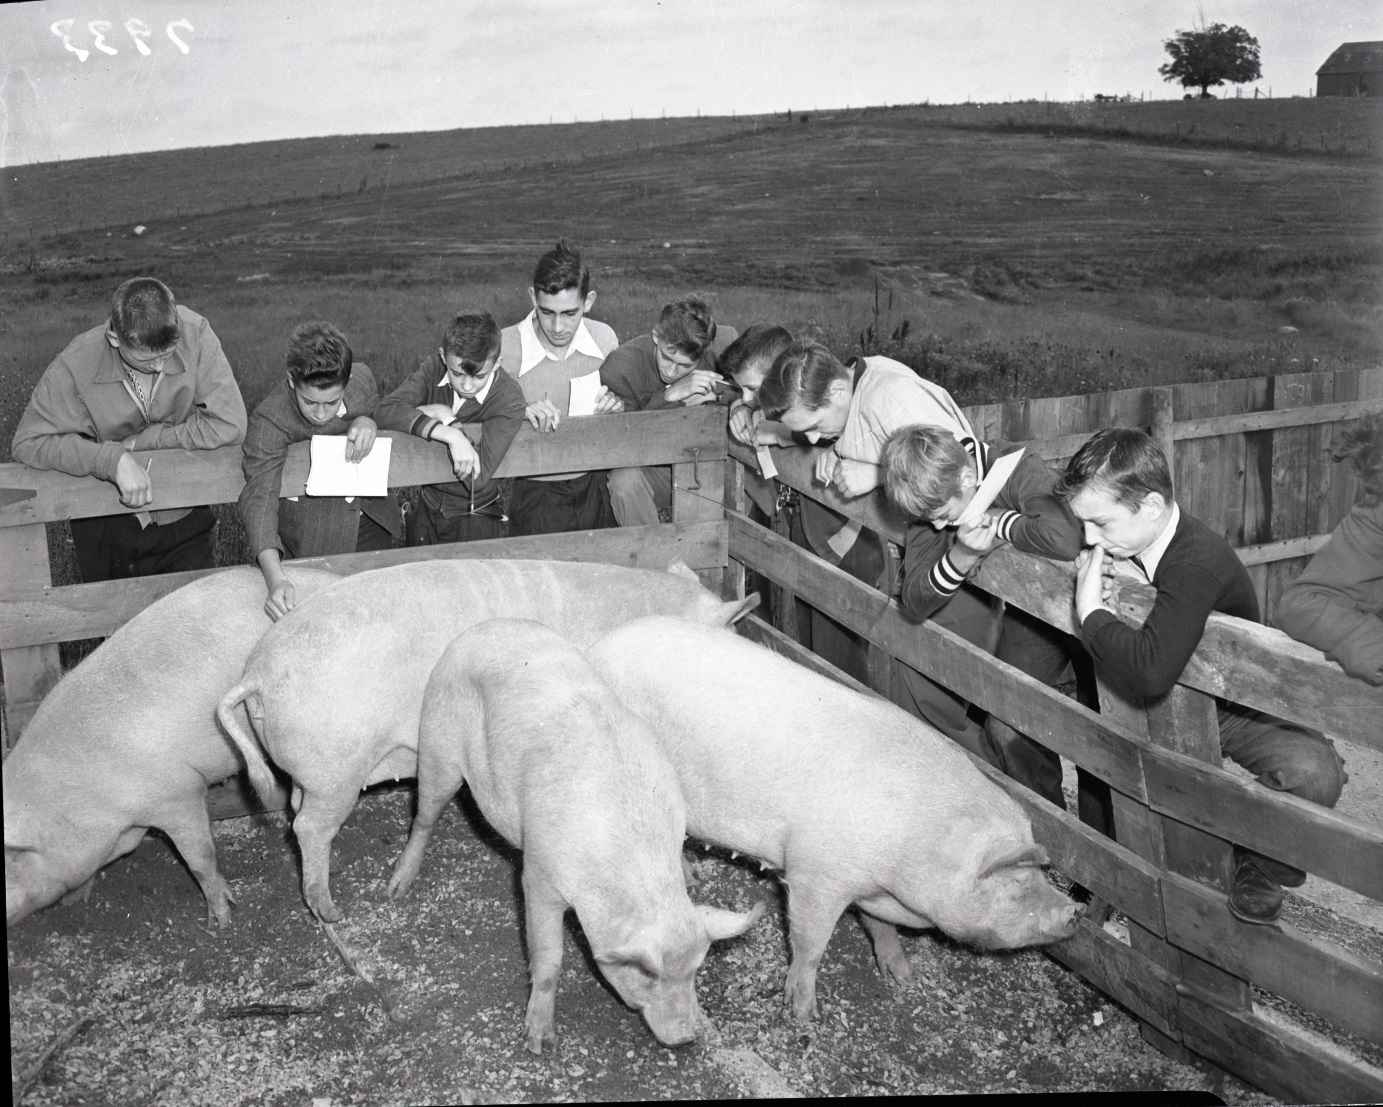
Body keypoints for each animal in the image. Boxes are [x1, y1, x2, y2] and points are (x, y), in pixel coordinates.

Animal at [215, 553, 757, 924]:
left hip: (311, 768)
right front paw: (692, 874)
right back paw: (331, 910)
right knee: (310, 828)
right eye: (731, 633)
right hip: (336, 765)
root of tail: (257, 673)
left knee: (295, 813)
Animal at [384, 622, 763, 1057]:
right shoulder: (538, 877)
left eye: (695, 970)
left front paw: (693, 876)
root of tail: (480, 630)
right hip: (437, 742)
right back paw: (396, 887)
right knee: (424, 815)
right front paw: (538, 1042)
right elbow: (548, 958)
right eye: (647, 974)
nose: (687, 1037)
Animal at [589, 614, 1084, 1018]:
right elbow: (810, 942)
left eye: (1039, 875)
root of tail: (601, 645)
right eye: (1014, 884)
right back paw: (691, 879)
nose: (1075, 910)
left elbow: (881, 927)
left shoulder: (872, 888)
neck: (915, 848)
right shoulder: (815, 873)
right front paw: (802, 1014)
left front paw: (902, 976)